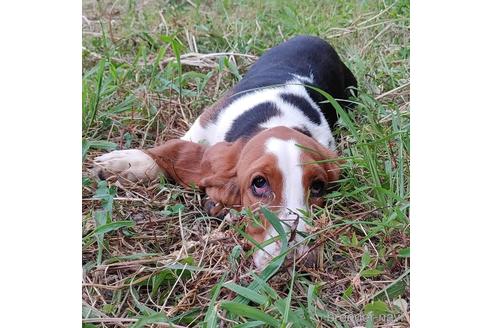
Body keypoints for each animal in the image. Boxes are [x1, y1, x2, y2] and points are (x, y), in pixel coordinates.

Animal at [92, 34, 356, 268]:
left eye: (318, 186)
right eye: (259, 183)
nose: (296, 256)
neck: (276, 118)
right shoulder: (204, 125)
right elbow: (176, 150)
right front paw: (126, 163)